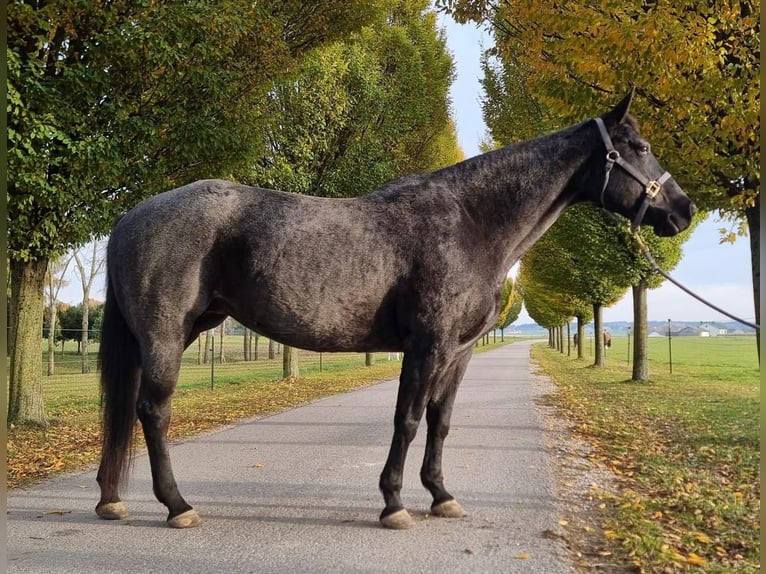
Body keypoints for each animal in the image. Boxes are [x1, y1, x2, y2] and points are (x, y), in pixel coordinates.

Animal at [95, 89, 695, 530]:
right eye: (639, 146)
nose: (683, 210)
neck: (471, 222)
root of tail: (131, 216)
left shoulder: (460, 351)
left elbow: (440, 420)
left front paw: (442, 495)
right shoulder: (427, 346)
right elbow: (406, 419)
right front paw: (394, 504)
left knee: (125, 406)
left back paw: (110, 499)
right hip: (166, 334)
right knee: (152, 411)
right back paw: (178, 506)